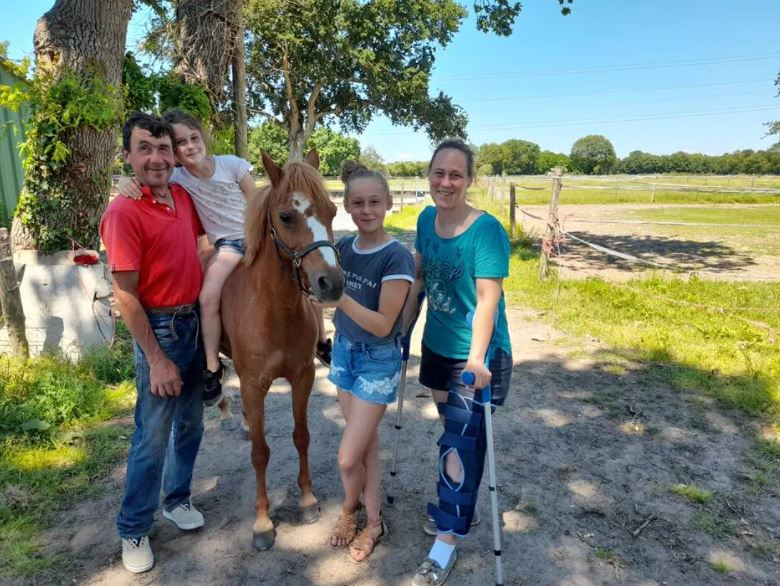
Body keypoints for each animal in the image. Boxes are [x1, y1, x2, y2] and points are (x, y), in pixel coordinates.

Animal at [218, 149, 342, 548]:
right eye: (286, 216)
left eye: (332, 211)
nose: (332, 283)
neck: (274, 310)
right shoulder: (254, 384)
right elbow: (260, 453)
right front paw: (262, 523)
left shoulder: (302, 376)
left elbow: (301, 437)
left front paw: (307, 500)